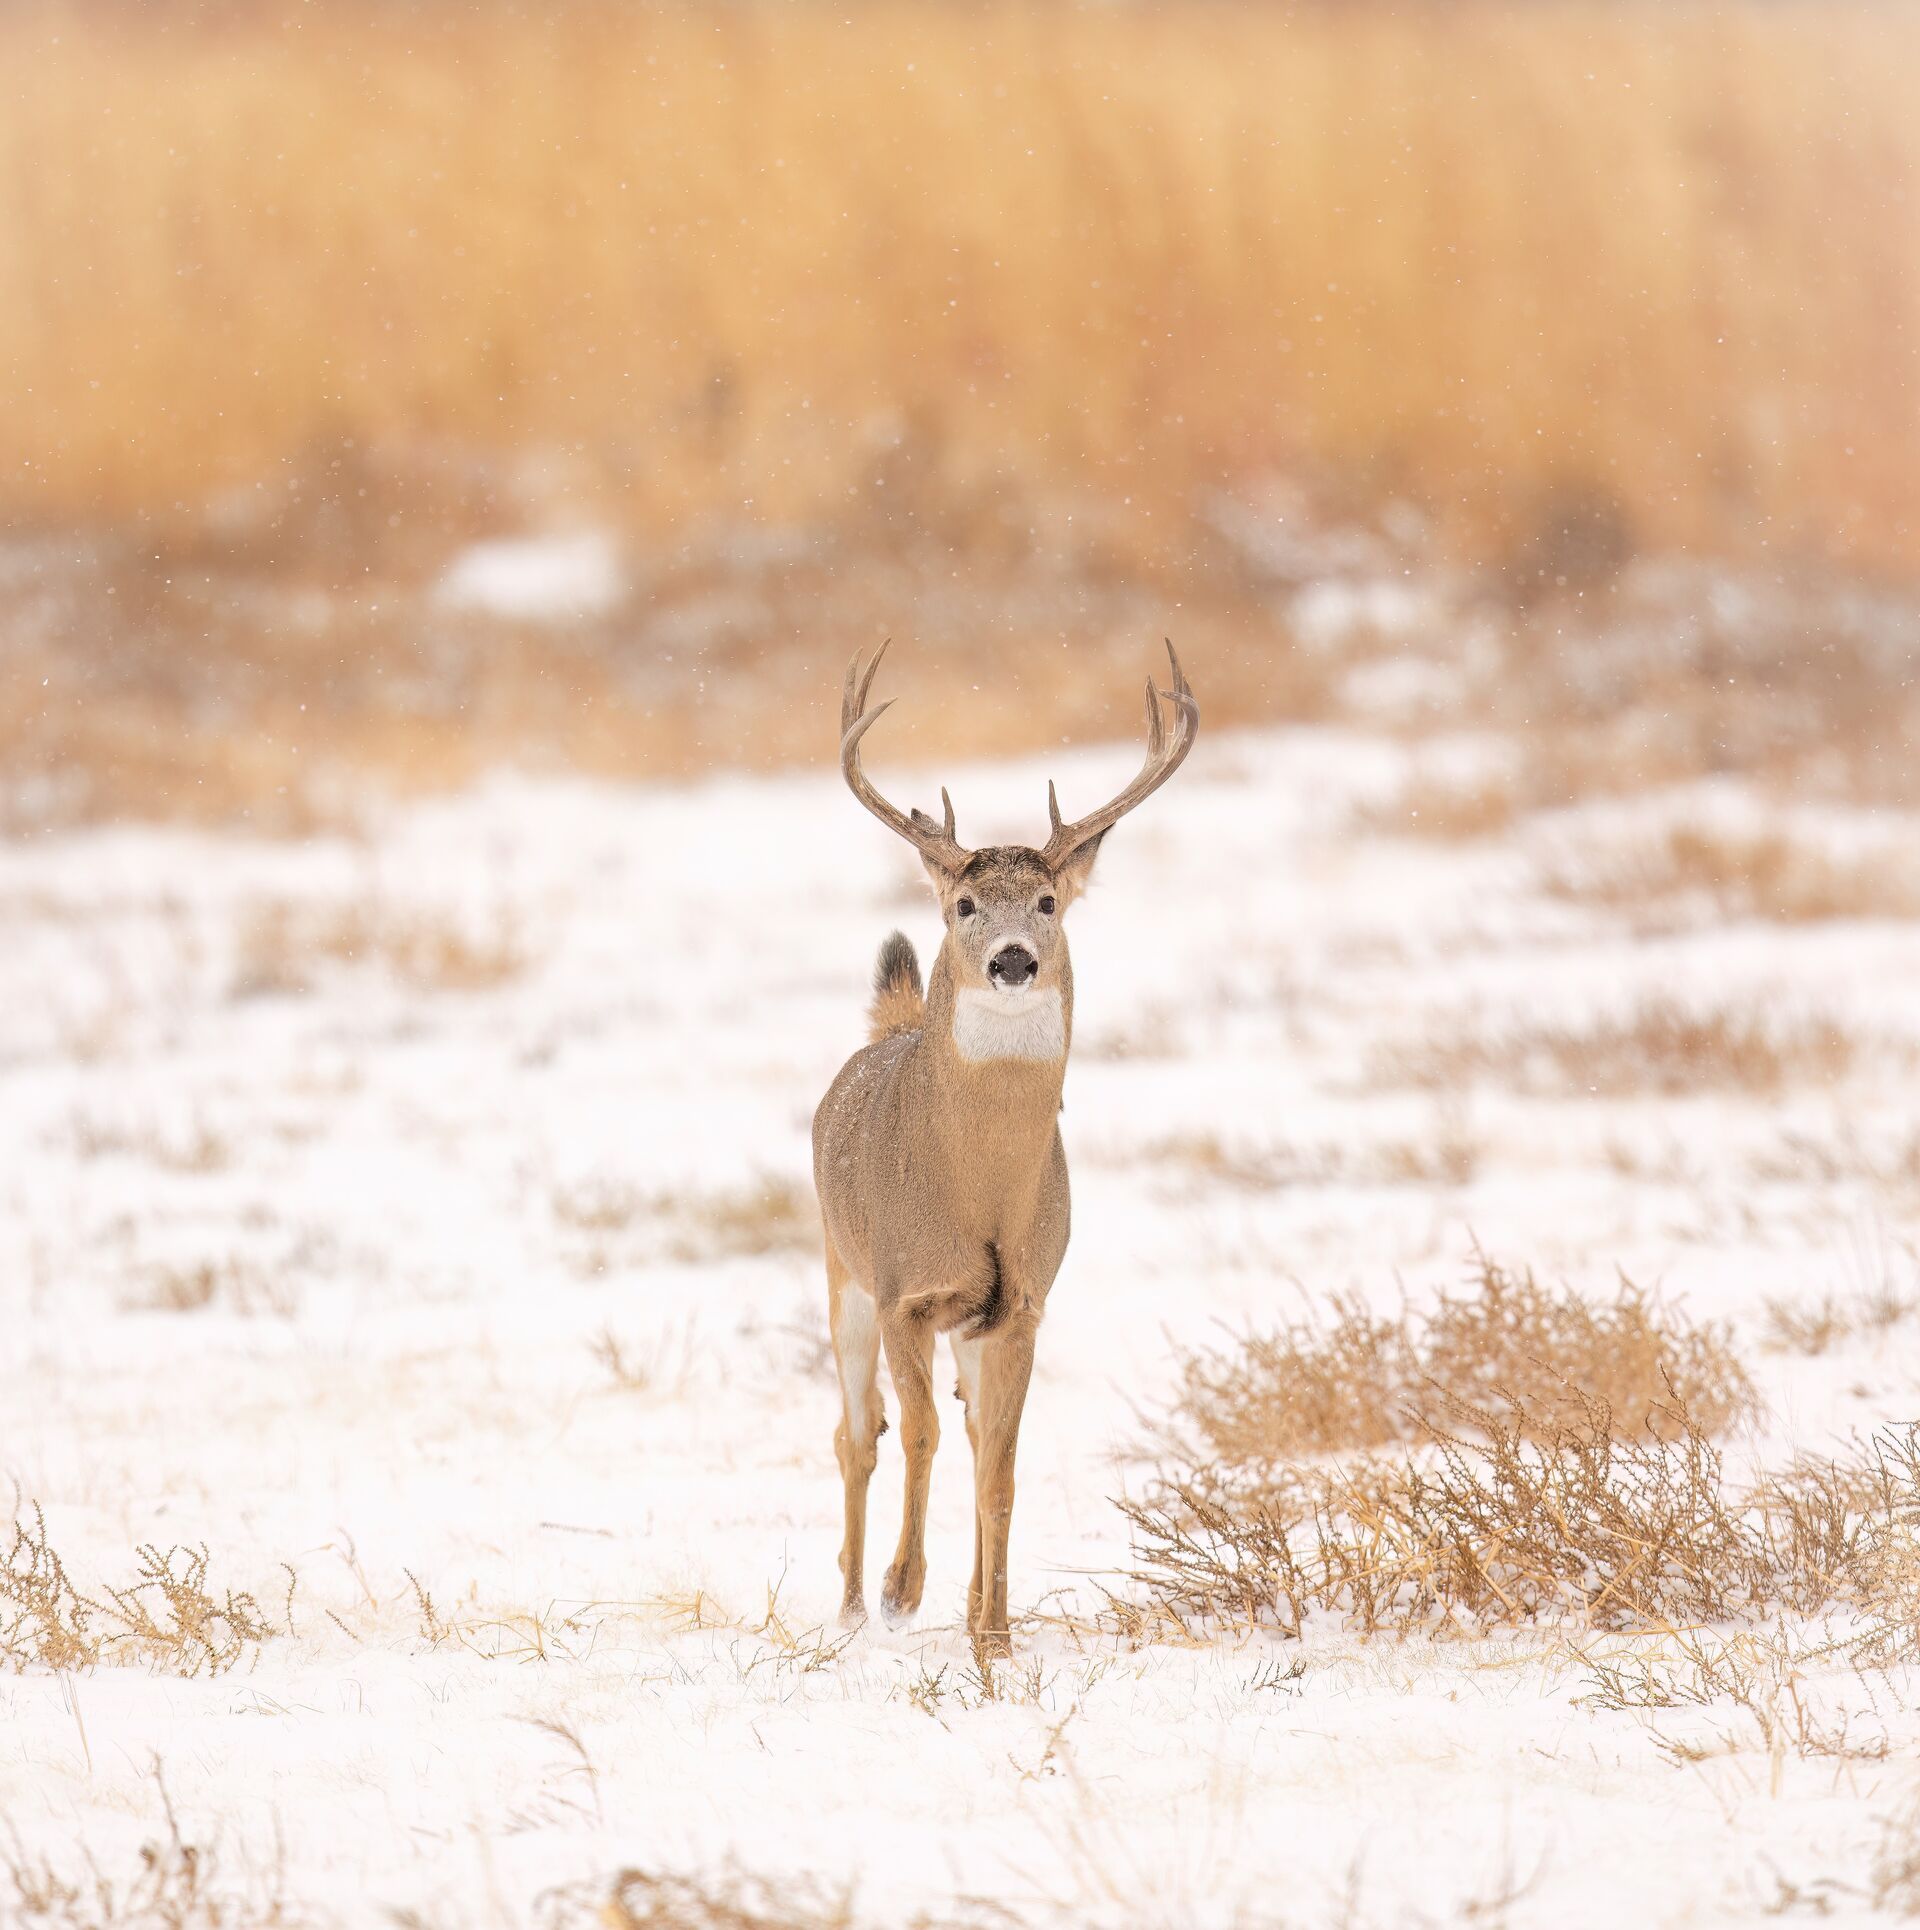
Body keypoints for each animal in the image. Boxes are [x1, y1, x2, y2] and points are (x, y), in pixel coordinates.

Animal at [811, 640, 1199, 1655]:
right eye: (965, 904)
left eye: (1050, 900)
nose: (1014, 958)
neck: (978, 1190)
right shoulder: (905, 1290)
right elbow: (917, 1437)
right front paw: (904, 1588)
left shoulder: (1021, 1304)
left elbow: (1000, 1465)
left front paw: (993, 1631)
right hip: (840, 1267)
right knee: (855, 1434)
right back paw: (852, 1603)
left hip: (966, 1325)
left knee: (960, 1433)